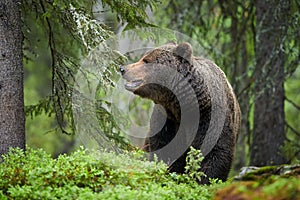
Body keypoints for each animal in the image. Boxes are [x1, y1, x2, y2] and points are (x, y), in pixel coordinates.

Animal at [119, 42, 241, 184]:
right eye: (143, 58)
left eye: (146, 60)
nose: (122, 68)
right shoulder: (167, 119)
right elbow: (163, 149)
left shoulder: (212, 119)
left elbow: (215, 152)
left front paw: (203, 181)